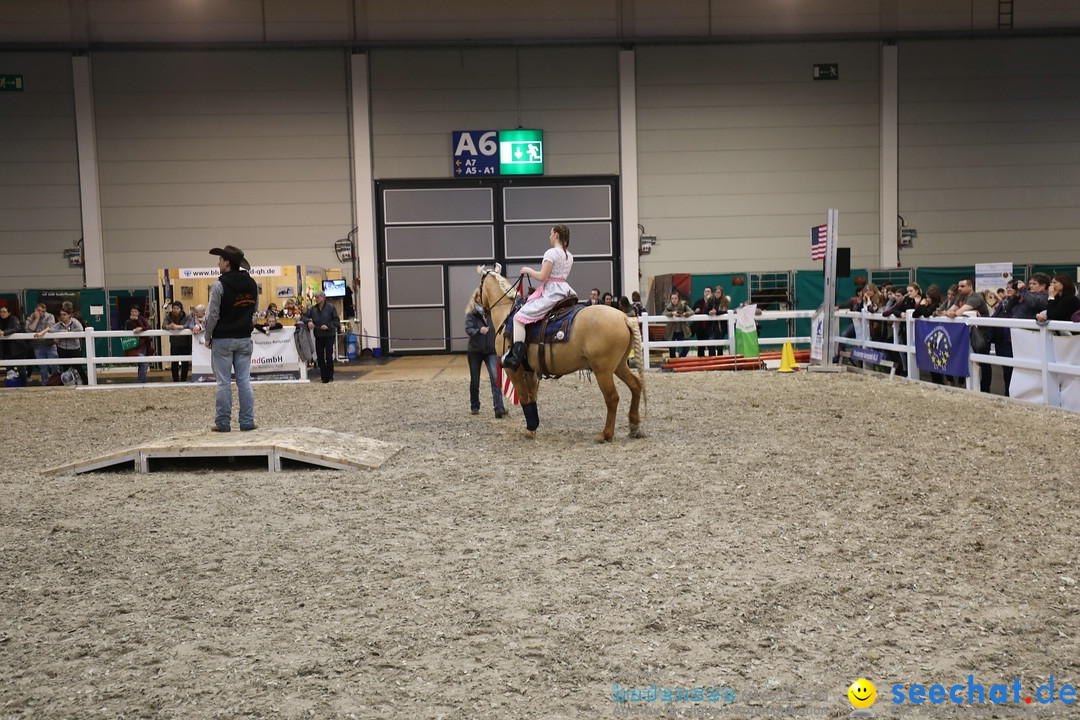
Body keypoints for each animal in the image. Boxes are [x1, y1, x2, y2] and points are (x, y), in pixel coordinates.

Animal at [477, 267, 643, 442]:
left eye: (479, 288)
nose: (478, 307)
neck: (506, 314)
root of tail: (624, 318)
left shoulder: (513, 370)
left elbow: (523, 397)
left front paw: (530, 429)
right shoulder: (530, 371)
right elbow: (532, 396)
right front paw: (533, 427)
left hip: (603, 371)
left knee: (612, 397)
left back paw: (606, 434)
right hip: (619, 365)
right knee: (635, 386)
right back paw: (634, 426)